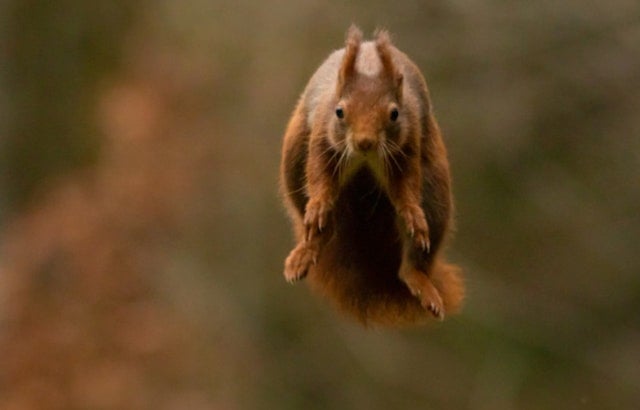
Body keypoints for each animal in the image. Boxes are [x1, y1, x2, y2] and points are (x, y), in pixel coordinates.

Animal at [280, 26, 464, 326]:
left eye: (394, 114)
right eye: (339, 111)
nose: (364, 142)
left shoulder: (409, 142)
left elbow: (407, 185)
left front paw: (412, 212)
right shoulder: (322, 135)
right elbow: (318, 173)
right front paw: (318, 204)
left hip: (435, 198)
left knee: (413, 263)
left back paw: (420, 280)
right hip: (293, 162)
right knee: (319, 225)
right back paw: (307, 250)